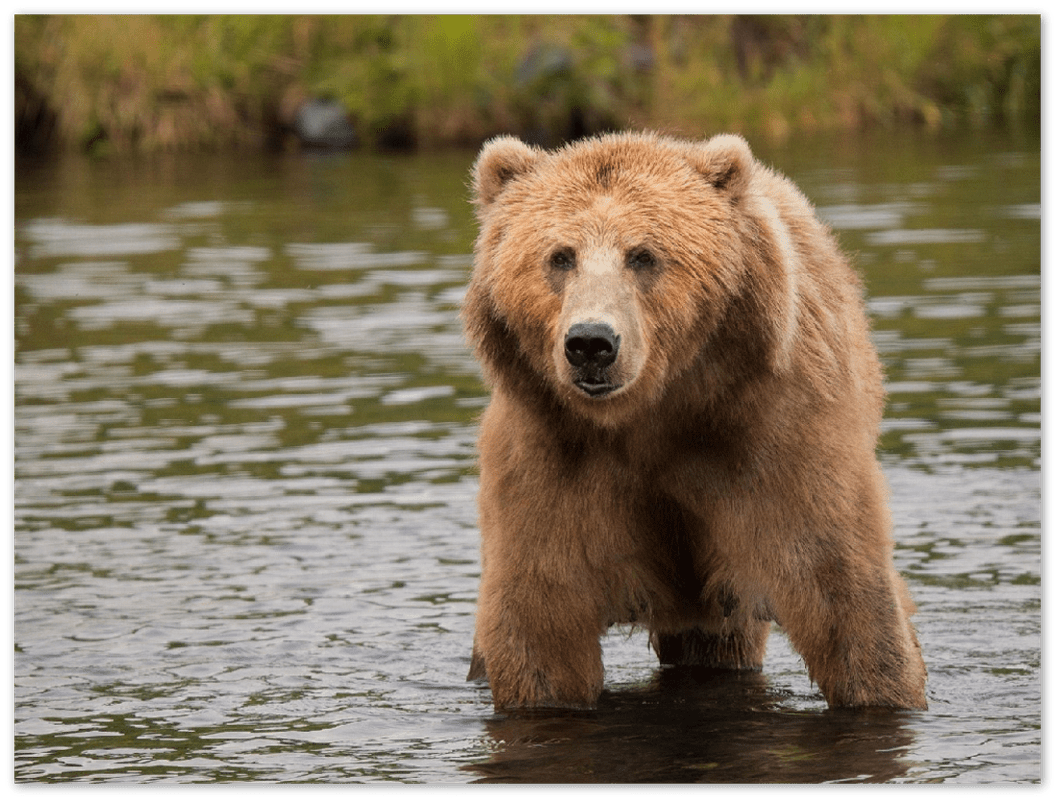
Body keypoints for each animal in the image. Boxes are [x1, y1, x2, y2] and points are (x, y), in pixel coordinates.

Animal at [462, 131, 927, 711]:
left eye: (643, 255)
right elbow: (540, 620)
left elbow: (842, 592)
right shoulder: (552, 457)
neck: (655, 414)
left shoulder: (775, 437)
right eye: (560, 256)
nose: (591, 343)